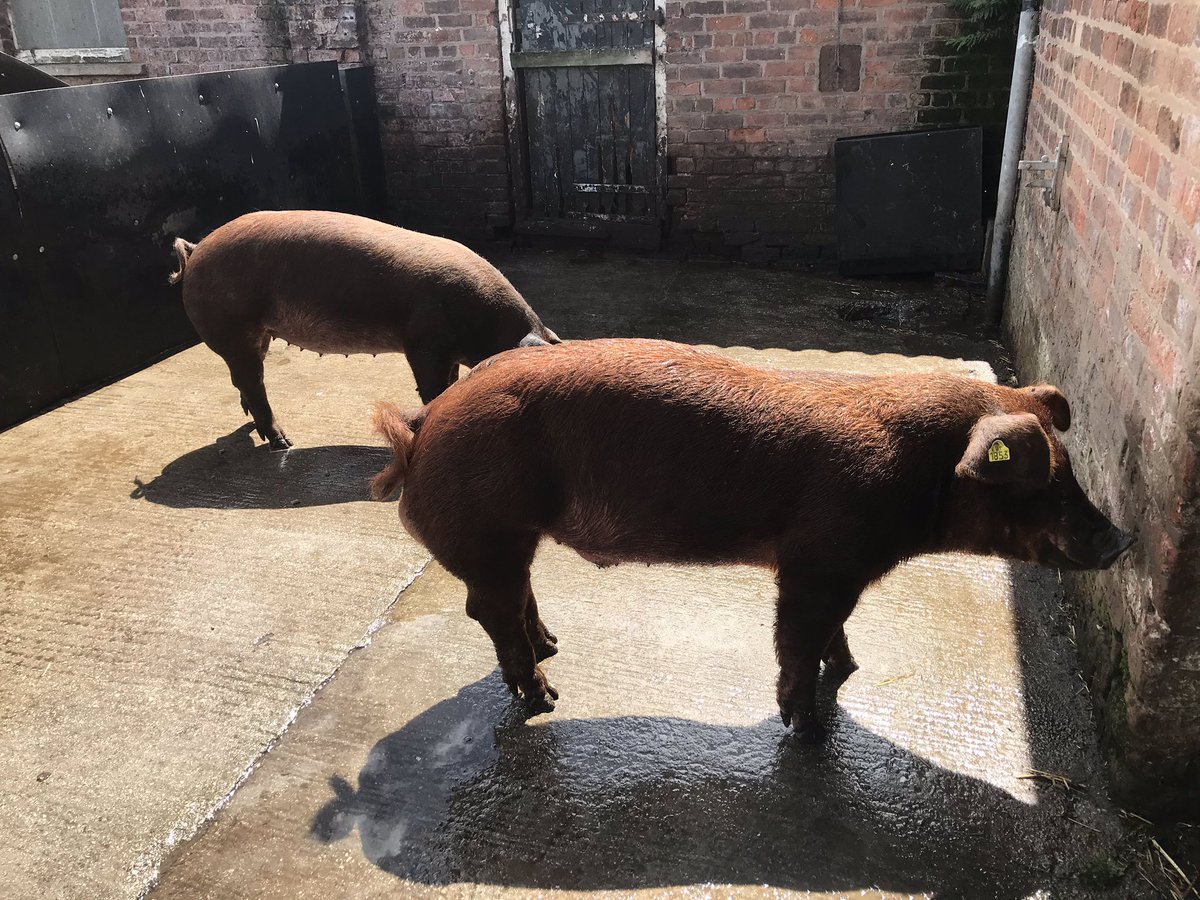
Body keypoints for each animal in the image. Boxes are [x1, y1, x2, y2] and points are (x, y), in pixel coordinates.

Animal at [169, 210, 559, 450]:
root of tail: (196, 249)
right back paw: (282, 443)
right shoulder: (424, 345)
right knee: (253, 382)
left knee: (243, 381)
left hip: (256, 335)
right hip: (233, 329)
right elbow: (433, 389)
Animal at [369, 338, 1135, 742]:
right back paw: (545, 700)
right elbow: (795, 638)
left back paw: (553, 650)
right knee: (489, 609)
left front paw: (849, 668)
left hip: (512, 536)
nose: (1123, 541)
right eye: (1044, 485)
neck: (917, 481)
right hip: (489, 529)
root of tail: (418, 428)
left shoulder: (840, 570)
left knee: (516, 596)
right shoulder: (815, 563)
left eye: (1071, 474)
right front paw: (808, 728)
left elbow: (832, 632)